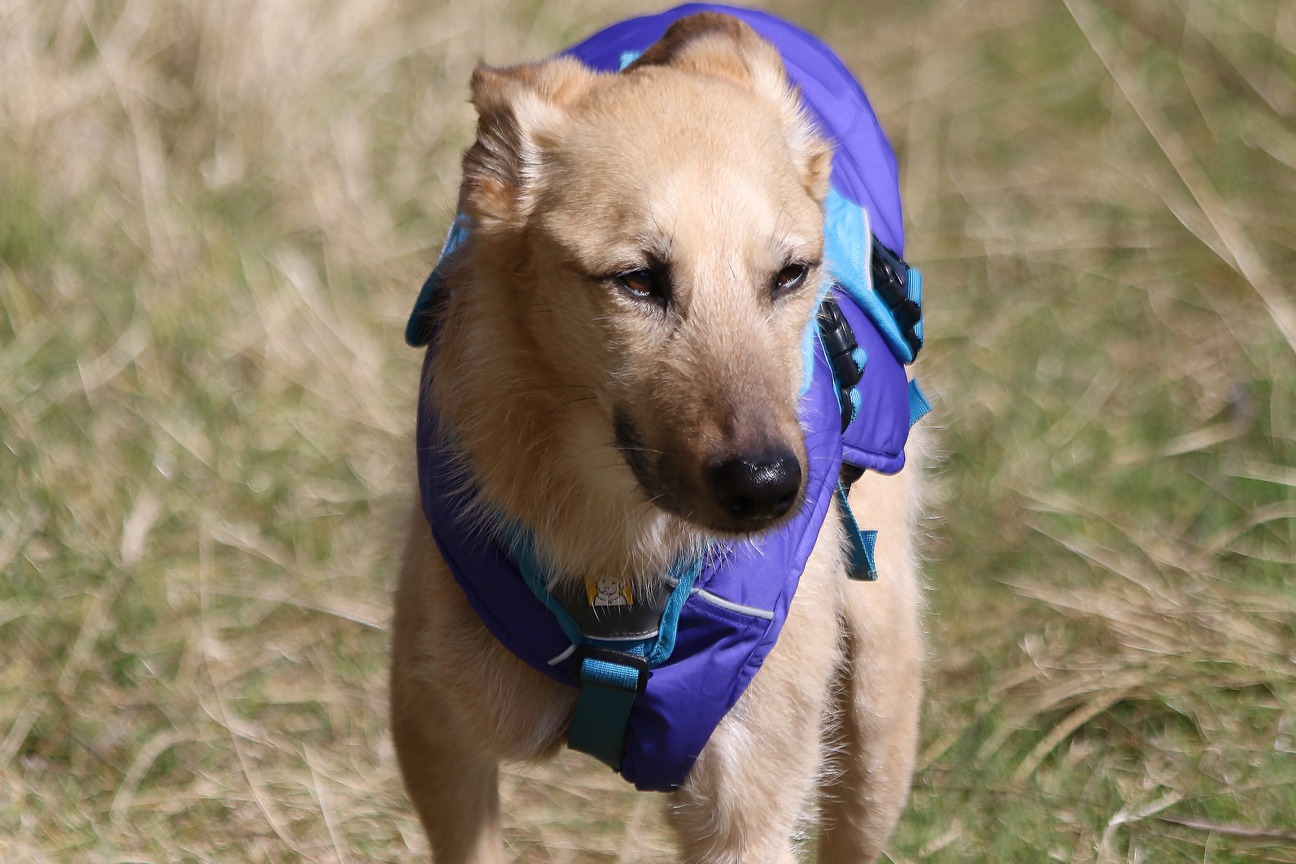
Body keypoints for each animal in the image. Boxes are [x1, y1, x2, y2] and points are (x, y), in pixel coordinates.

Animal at [388, 8, 927, 864]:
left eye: (792, 274)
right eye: (637, 281)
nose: (768, 486)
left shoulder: (746, 807)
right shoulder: (438, 737)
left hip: (879, 709)